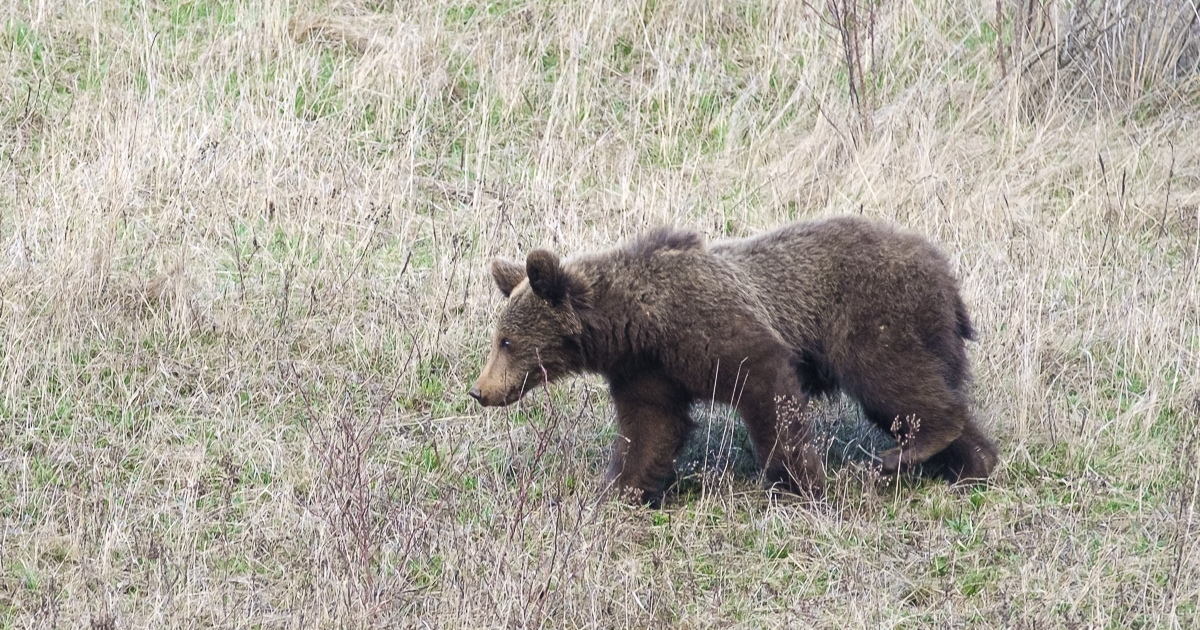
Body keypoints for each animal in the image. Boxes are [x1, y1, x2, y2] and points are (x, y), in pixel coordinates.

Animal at [468, 214, 1003, 501]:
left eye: (506, 341)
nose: (479, 390)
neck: (637, 324)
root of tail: (944, 271)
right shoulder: (648, 370)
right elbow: (650, 428)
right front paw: (620, 488)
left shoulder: (710, 327)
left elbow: (768, 389)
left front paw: (801, 480)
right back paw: (971, 462)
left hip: (874, 317)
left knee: (892, 380)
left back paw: (905, 453)